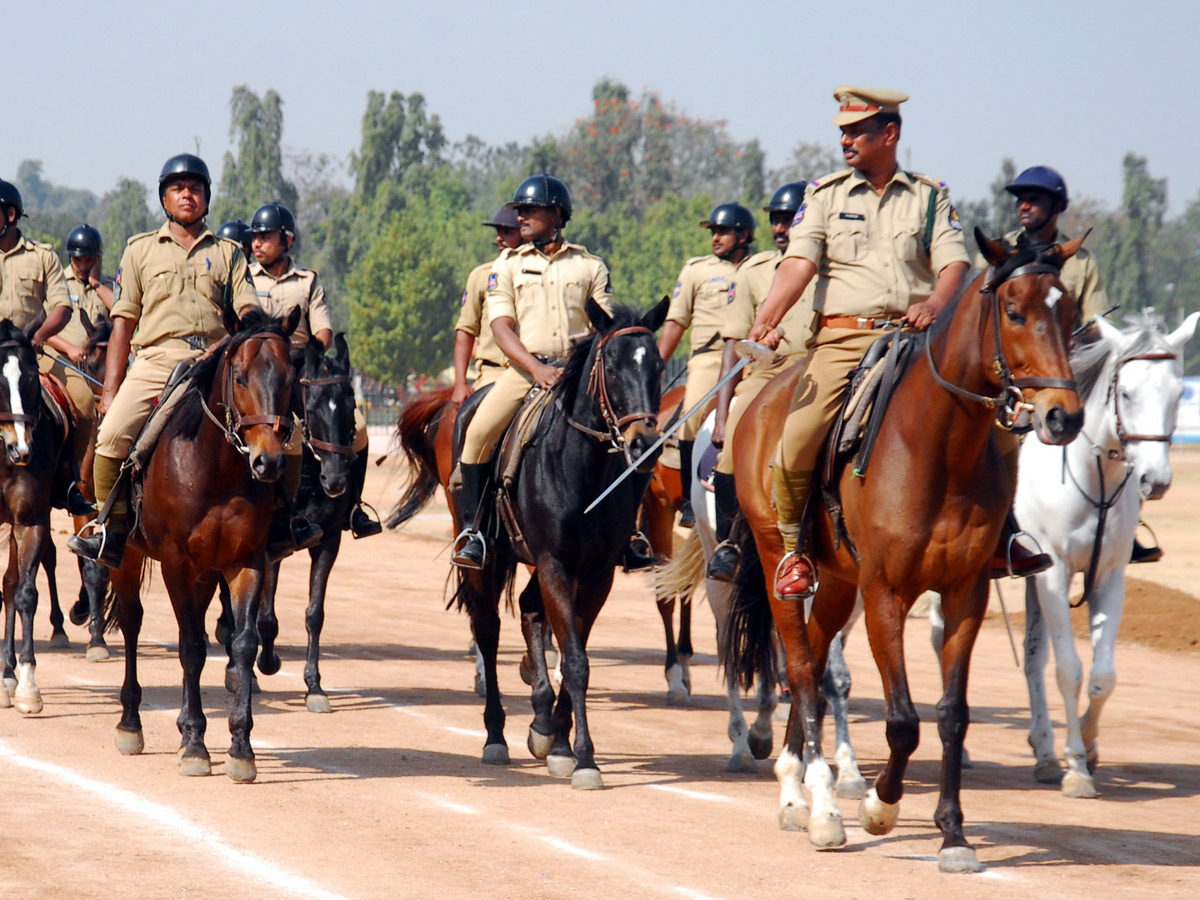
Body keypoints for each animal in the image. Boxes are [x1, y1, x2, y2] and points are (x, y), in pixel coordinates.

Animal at [106, 304, 298, 782]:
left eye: (291, 376)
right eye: (241, 377)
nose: (268, 461)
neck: (217, 470)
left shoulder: (246, 561)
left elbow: (243, 645)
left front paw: (240, 746)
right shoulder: (175, 562)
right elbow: (191, 648)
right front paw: (195, 744)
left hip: (206, 573)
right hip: (129, 557)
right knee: (133, 622)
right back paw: (131, 722)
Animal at [396, 297, 672, 787]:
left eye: (658, 366)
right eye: (612, 366)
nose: (644, 444)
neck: (583, 471)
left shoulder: (595, 573)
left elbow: (575, 651)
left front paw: (558, 741)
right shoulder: (554, 564)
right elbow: (575, 660)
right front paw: (583, 758)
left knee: (528, 611)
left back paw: (540, 719)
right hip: (487, 559)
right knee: (487, 632)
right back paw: (495, 736)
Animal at [720, 230, 1089, 873]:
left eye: (1068, 313)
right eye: (1014, 311)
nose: (1063, 416)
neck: (937, 447)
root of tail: (761, 400)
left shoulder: (965, 593)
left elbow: (951, 716)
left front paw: (954, 835)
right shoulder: (885, 595)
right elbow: (902, 720)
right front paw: (878, 805)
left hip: (837, 583)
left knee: (812, 655)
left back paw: (799, 787)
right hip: (777, 565)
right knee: (801, 666)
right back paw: (816, 806)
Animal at [1017, 309, 1195, 796]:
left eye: (1178, 391)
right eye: (1127, 392)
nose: (1156, 480)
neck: (1091, 477)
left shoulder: (1109, 576)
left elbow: (1102, 677)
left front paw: (1088, 746)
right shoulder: (1054, 573)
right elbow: (1070, 670)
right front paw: (1077, 768)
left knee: (1032, 656)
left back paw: (1043, 751)